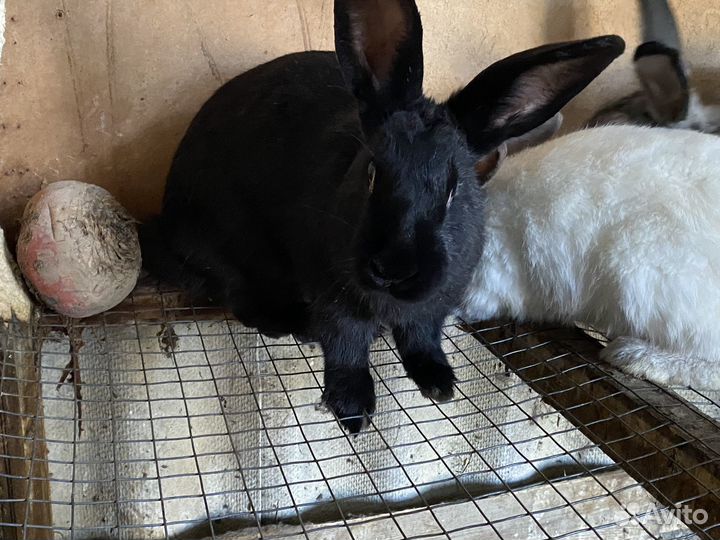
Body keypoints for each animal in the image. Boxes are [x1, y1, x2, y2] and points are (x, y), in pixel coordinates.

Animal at [140, 0, 625, 432]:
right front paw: (353, 412)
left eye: (454, 189)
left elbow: (422, 337)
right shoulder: (334, 297)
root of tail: (165, 227)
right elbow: (346, 347)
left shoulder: (434, 306)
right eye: (372, 173)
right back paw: (295, 325)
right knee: (240, 298)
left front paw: (439, 384)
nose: (393, 267)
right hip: (228, 248)